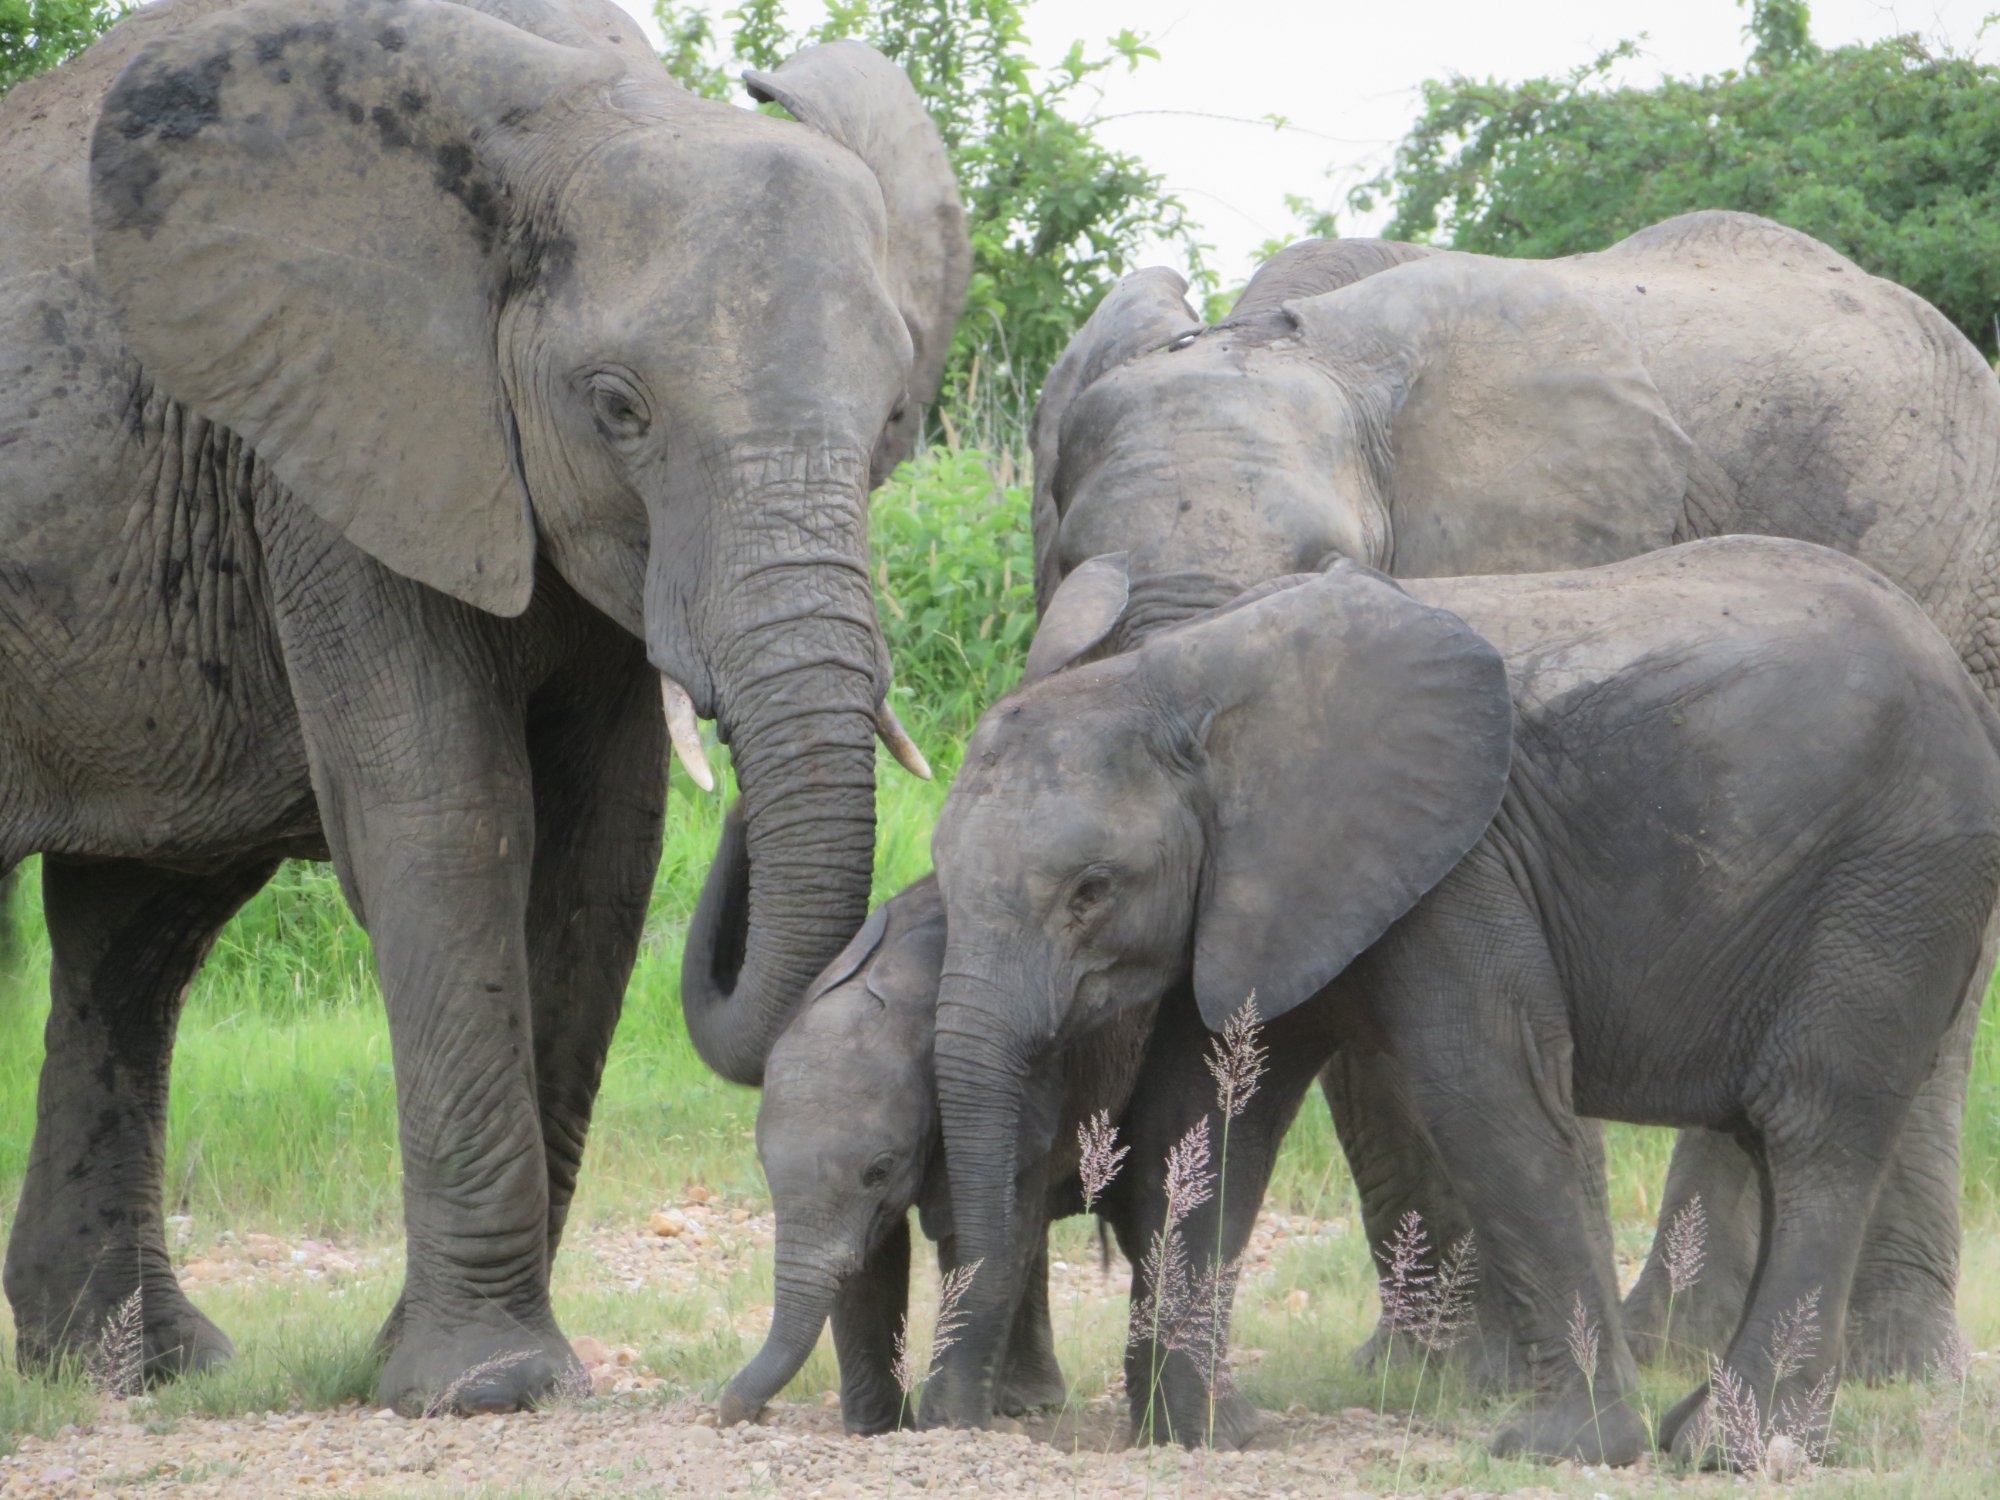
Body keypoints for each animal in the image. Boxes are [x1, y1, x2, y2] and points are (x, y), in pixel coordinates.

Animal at [0, 0, 967, 1413]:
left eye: (896, 413)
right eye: (617, 408)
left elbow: (596, 861)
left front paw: (448, 1366)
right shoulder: (341, 442)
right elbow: (449, 822)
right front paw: (485, 1386)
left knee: (137, 932)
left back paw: (141, 1370)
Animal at [920, 539, 2000, 1460]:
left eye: (1090, 890)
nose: (957, 1419)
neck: (1176, 680)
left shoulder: (1458, 868)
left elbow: (1484, 1096)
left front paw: (1567, 1449)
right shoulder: (1260, 885)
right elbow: (1202, 1115)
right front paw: (1200, 1433)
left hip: (1890, 889)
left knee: (1812, 1131)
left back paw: (1726, 1447)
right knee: (1782, 1146)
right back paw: (1740, 1432)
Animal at [1025, 215, 2000, 1381]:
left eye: (1327, 566)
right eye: (1072, 560)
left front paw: (1499, 1371)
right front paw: (1427, 1371)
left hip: (1964, 612)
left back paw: (1881, 1366)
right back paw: (1677, 1343)